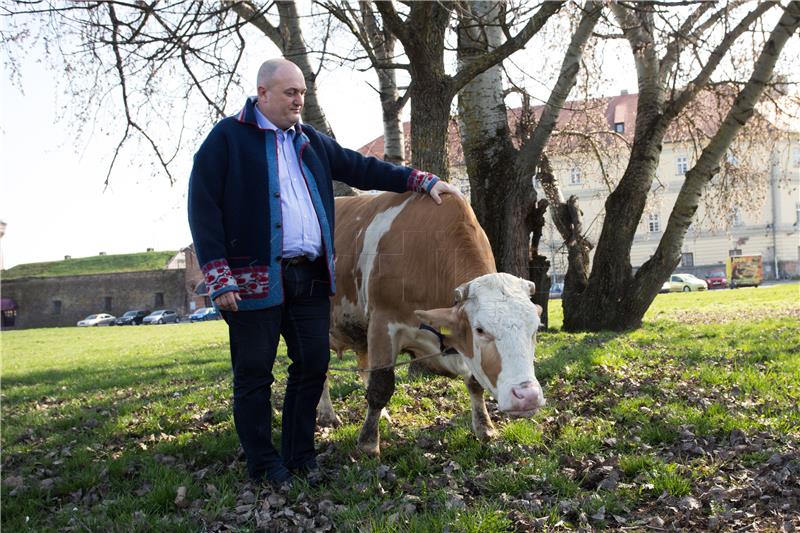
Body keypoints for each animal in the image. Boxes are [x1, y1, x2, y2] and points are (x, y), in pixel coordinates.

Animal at [318, 189, 544, 456]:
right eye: (480, 330)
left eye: (535, 329)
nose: (528, 396)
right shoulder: (383, 323)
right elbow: (381, 385)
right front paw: (368, 443)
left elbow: (474, 382)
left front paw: (484, 428)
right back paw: (328, 416)